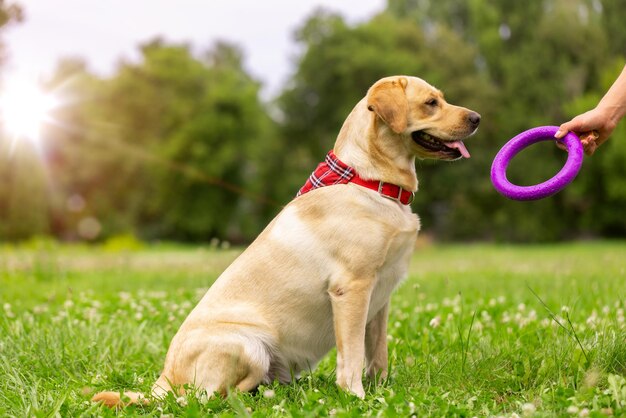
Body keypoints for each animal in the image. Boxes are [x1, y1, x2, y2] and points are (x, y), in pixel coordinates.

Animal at [92, 74, 478, 404]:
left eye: (441, 98)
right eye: (431, 103)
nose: (477, 117)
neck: (371, 181)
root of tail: (164, 379)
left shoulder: (381, 296)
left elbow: (377, 353)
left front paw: (382, 392)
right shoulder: (351, 289)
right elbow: (352, 355)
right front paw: (355, 397)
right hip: (249, 345)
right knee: (210, 397)